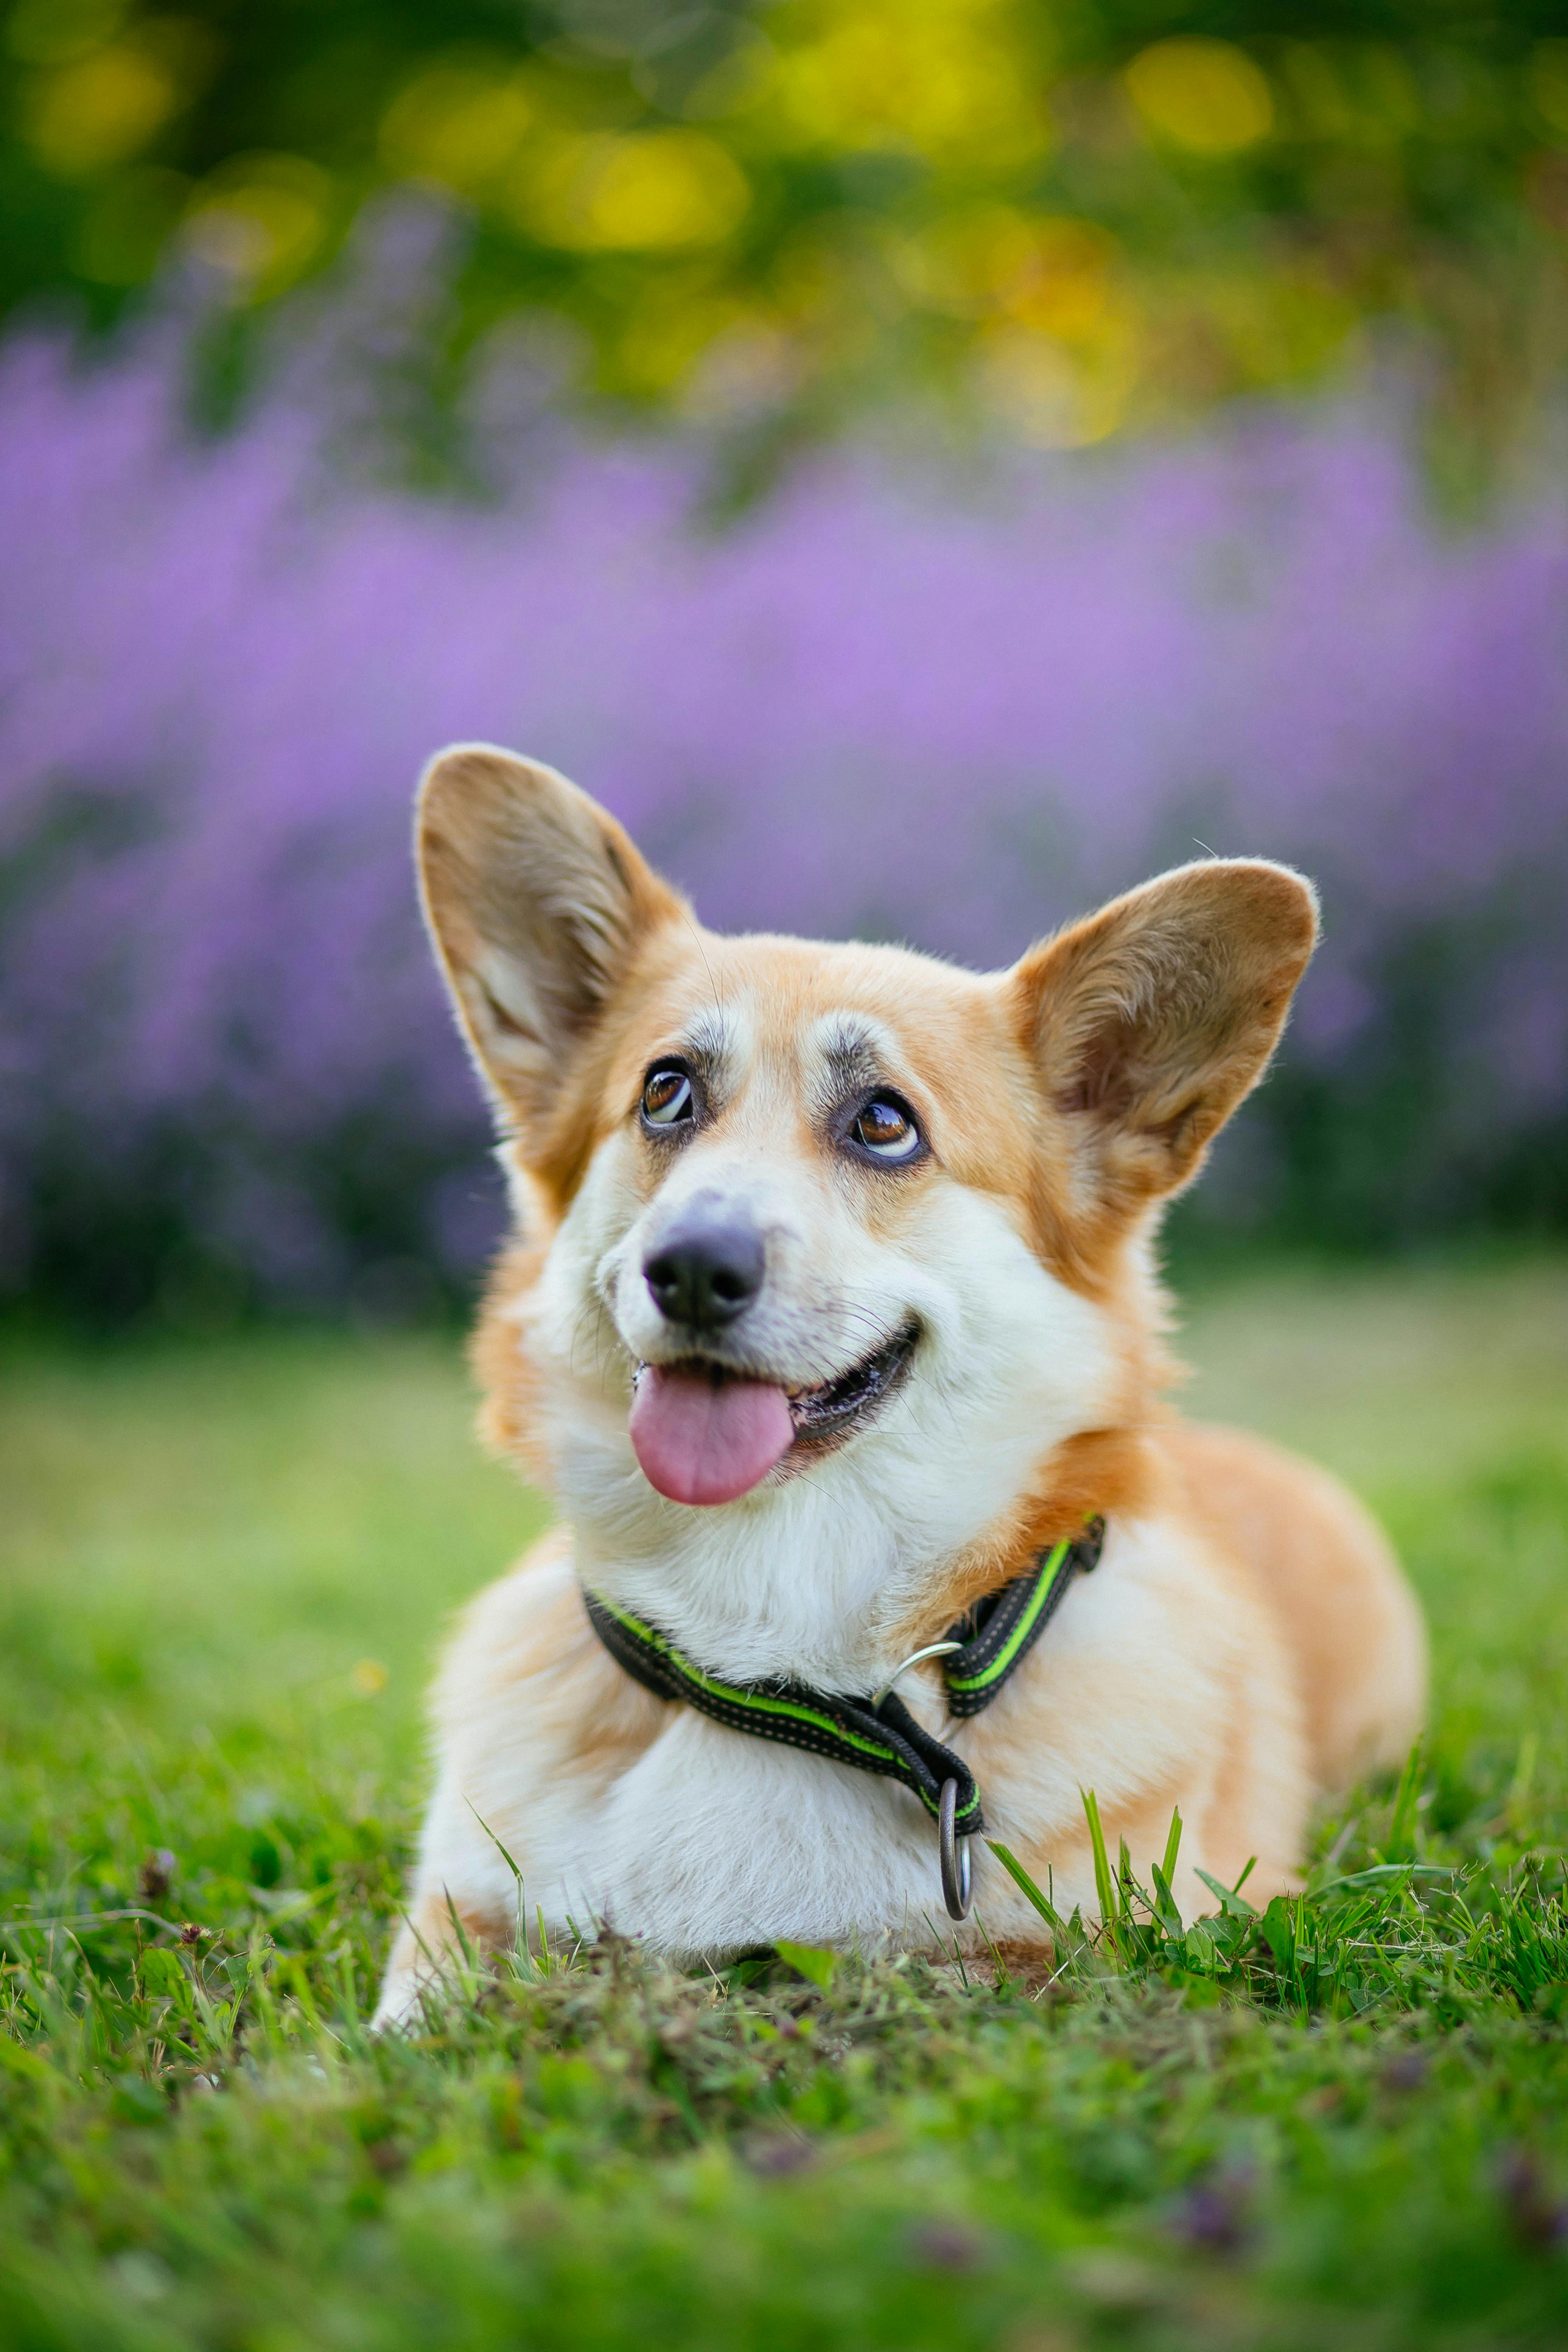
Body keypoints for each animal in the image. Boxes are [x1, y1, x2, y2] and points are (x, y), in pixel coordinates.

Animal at [373, 743, 1429, 2032]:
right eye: (666, 1092)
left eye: (885, 1123)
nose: (693, 1268)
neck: (773, 1657)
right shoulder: (457, 1919)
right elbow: (408, 2025)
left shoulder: (1091, 1953)